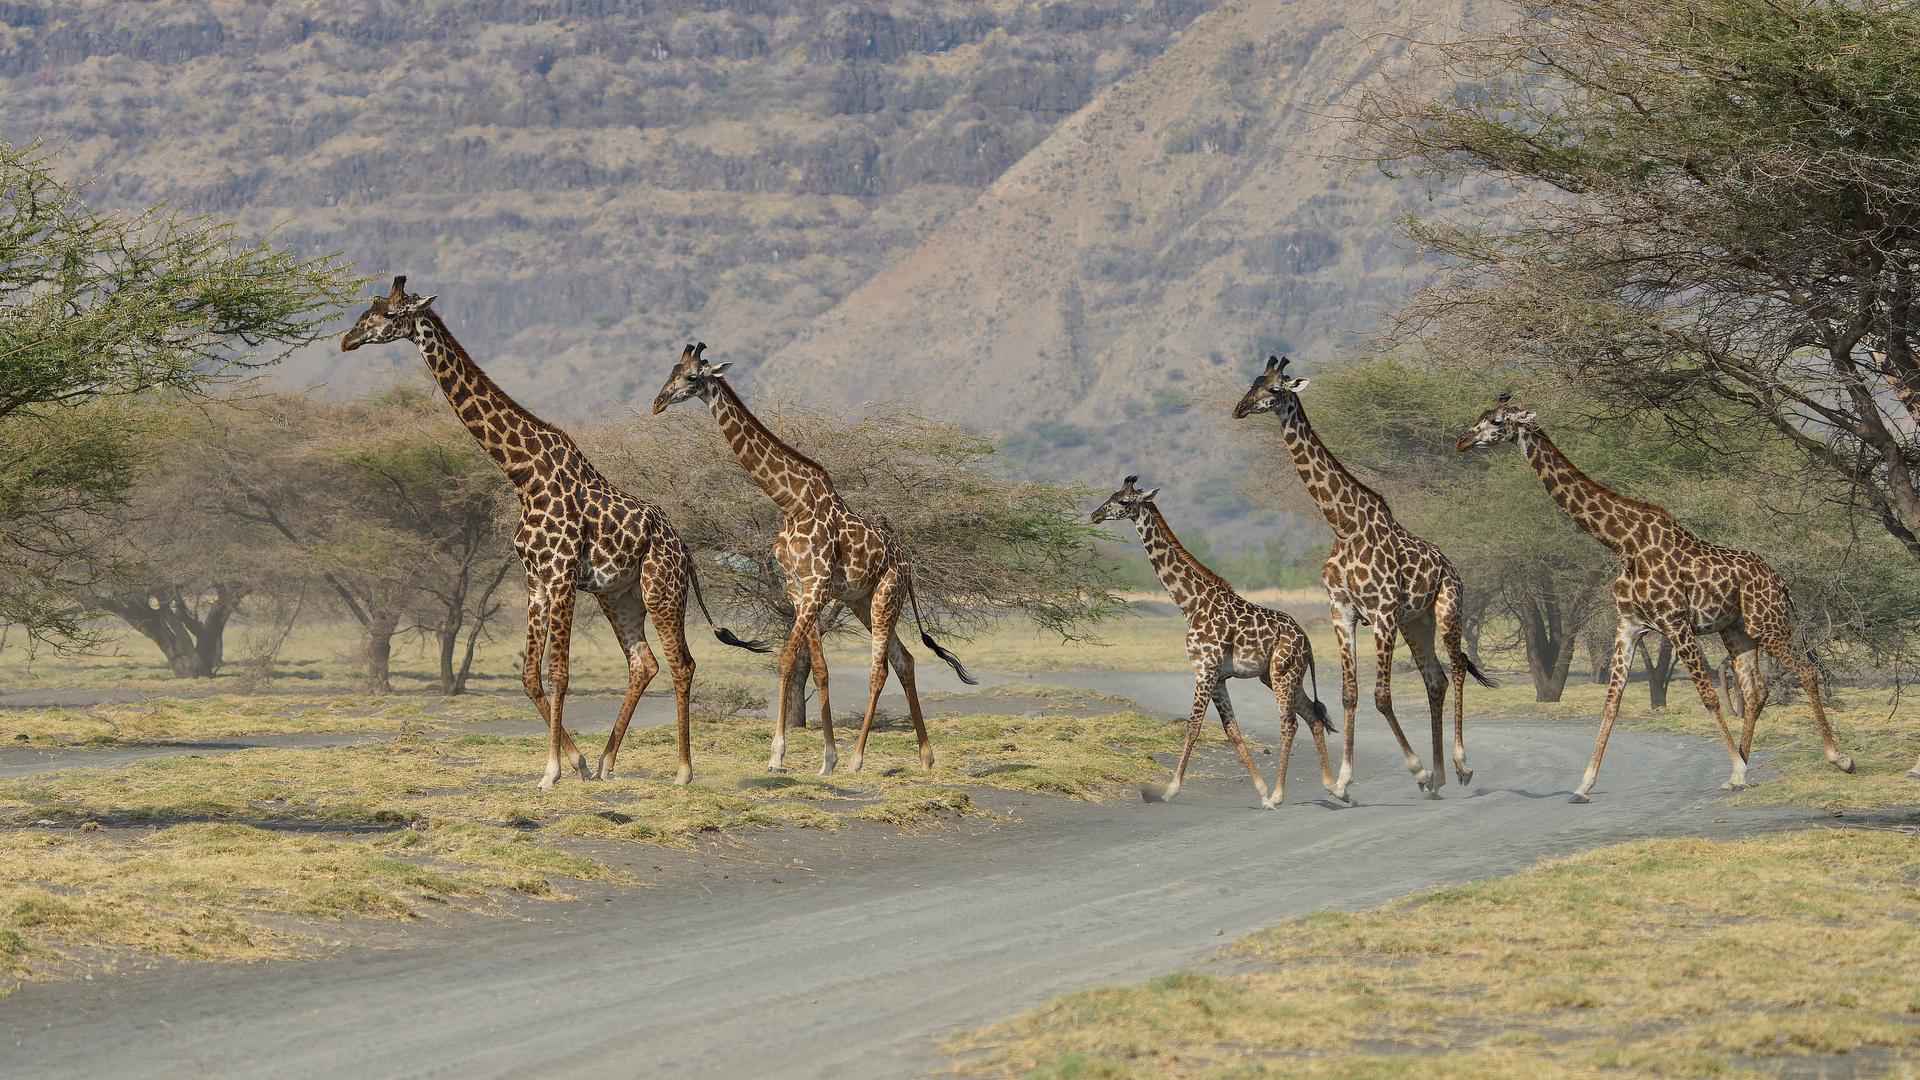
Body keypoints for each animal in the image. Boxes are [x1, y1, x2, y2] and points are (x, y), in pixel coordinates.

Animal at [341, 272, 768, 787]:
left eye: (389, 313)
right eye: (367, 310)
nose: (346, 340)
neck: (523, 474)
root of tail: (686, 550)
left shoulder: (562, 576)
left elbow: (560, 674)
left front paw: (552, 772)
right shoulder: (536, 580)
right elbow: (529, 675)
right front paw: (576, 762)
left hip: (662, 590)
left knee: (680, 663)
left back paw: (683, 772)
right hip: (618, 596)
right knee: (643, 662)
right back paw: (606, 762)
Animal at [652, 343, 975, 772]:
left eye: (691, 377)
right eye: (670, 370)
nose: (657, 402)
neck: (792, 502)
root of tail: (908, 564)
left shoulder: (817, 585)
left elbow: (787, 659)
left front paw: (778, 756)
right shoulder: (798, 587)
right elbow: (819, 668)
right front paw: (827, 758)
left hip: (886, 596)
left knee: (879, 670)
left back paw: (858, 759)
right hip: (861, 602)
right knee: (904, 660)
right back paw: (925, 756)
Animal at [1090, 474, 1344, 803]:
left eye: (1122, 501)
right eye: (1110, 495)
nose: (1094, 515)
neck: (1191, 603)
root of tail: (1307, 641)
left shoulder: (1205, 670)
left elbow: (1193, 726)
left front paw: (1171, 790)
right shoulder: (1219, 677)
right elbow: (1231, 730)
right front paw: (1260, 789)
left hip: (1283, 673)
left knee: (1289, 723)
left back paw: (1280, 794)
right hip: (1278, 676)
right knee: (1313, 714)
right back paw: (1334, 788)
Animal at [1236, 355, 1489, 799]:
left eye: (1274, 389)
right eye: (1253, 383)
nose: (1240, 408)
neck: (1345, 526)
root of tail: (1451, 566)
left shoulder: (1383, 612)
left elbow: (1382, 696)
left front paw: (1416, 770)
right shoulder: (1343, 612)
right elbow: (1349, 695)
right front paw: (1343, 779)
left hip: (1447, 609)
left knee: (1457, 668)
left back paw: (1459, 766)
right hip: (1416, 623)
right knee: (1436, 680)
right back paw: (1440, 775)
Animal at [1451, 395, 1858, 799]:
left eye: (1498, 421)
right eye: (1481, 415)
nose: (1461, 441)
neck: (1623, 542)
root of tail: (1781, 581)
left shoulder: (1675, 622)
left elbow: (1708, 695)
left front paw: (1742, 767)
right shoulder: (1629, 624)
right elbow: (1611, 702)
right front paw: (1584, 784)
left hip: (1766, 623)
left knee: (1804, 671)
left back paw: (1837, 759)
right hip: (1736, 631)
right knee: (1755, 690)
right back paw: (1738, 773)